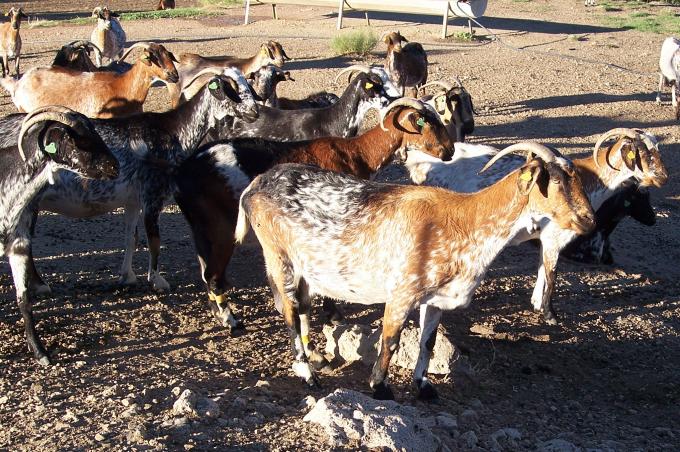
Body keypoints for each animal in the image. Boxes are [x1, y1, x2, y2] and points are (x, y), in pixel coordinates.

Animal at [0, 106, 119, 365]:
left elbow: (24, 300)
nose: (114, 166)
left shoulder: (17, 244)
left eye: (94, 131)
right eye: (76, 139)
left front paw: (40, 352)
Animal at [6, 69, 258, 307]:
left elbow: (131, 238)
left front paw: (127, 276)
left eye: (247, 84)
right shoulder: (152, 194)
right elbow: (154, 239)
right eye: (229, 88)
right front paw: (157, 280)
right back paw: (39, 285)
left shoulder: (133, 200)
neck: (173, 131)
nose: (254, 112)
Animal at [174, 97, 454, 332]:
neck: (357, 152)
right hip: (220, 228)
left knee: (206, 271)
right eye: (425, 122)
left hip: (200, 229)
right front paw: (334, 314)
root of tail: (184, 175)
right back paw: (232, 321)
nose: (449, 151)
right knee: (213, 276)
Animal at [235, 143, 595, 400]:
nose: (588, 220)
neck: (466, 220)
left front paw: (423, 386)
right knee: (290, 313)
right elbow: (391, 341)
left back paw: (315, 357)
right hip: (279, 257)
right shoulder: (401, 293)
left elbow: (427, 343)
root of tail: (254, 186)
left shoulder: (434, 299)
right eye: (555, 181)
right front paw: (380, 387)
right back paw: (308, 375)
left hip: (305, 270)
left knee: (302, 309)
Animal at [404, 128, 668, 324]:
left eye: (657, 150)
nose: (663, 178)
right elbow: (552, 273)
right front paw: (550, 315)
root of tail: (418, 160)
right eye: (643, 153)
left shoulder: (547, 239)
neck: (594, 181)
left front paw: (537, 304)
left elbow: (542, 268)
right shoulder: (555, 237)